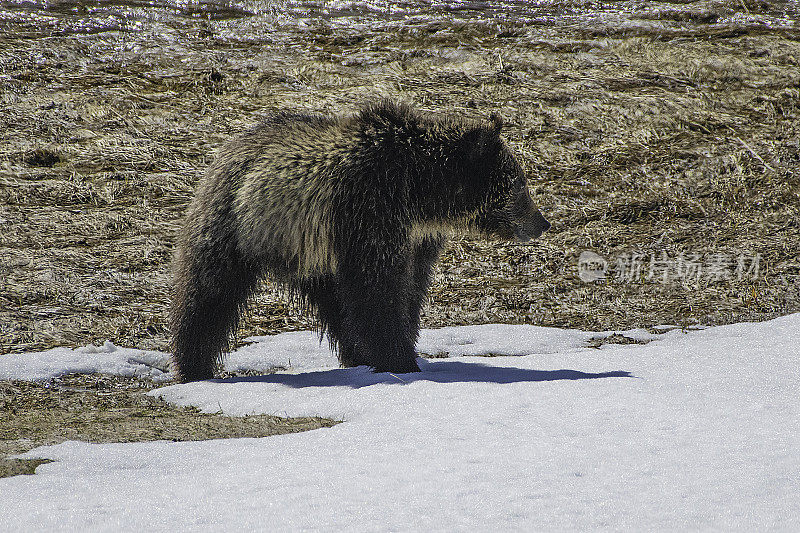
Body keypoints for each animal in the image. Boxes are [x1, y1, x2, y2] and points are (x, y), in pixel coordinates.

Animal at [172, 101, 552, 382]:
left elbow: (409, 289)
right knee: (209, 291)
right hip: (237, 224)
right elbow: (378, 289)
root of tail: (229, 145)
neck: (422, 194)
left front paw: (399, 349)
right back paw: (193, 365)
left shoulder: (416, 238)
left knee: (335, 304)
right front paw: (399, 359)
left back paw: (356, 355)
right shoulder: (370, 211)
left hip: (310, 254)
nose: (542, 223)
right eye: (518, 182)